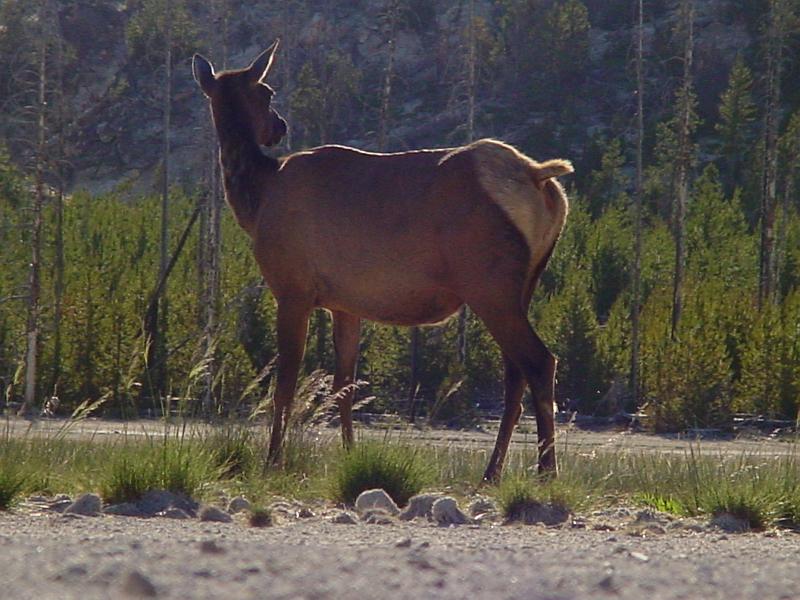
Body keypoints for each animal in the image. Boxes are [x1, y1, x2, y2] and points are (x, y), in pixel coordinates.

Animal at [193, 41, 572, 481]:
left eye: (266, 91)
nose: (279, 126)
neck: (257, 200)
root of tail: (539, 177)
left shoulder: (292, 290)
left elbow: (285, 384)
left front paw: (273, 460)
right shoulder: (345, 303)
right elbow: (344, 385)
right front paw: (349, 454)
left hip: (489, 285)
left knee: (539, 361)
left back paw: (546, 471)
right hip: (524, 285)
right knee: (515, 373)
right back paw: (493, 472)